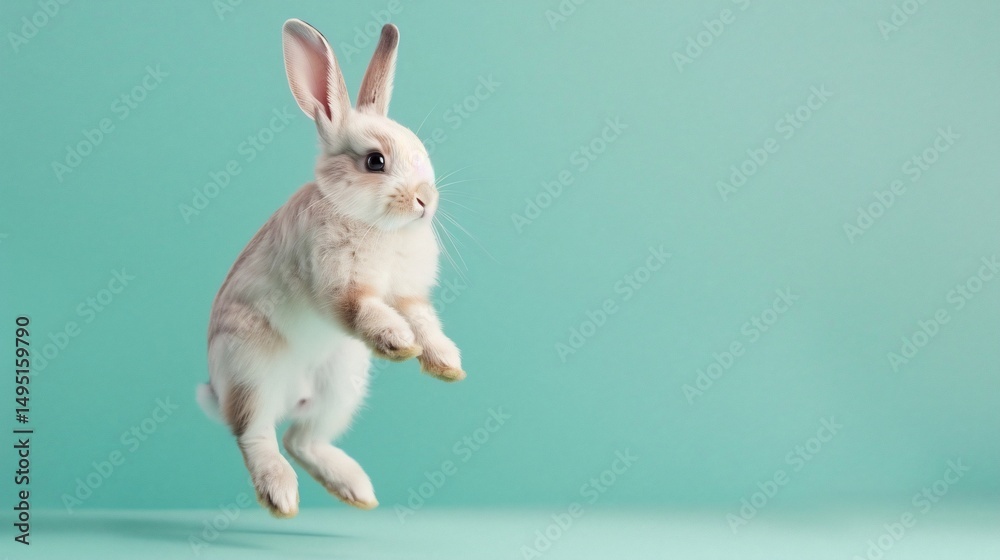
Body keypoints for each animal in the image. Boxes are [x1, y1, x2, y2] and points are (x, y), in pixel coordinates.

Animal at [196, 19, 465, 519]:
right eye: (375, 161)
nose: (425, 200)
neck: (377, 225)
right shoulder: (342, 288)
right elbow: (367, 311)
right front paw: (398, 342)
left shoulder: (408, 295)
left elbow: (423, 321)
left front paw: (445, 363)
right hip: (251, 371)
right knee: (256, 435)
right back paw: (281, 494)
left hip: (341, 386)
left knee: (301, 439)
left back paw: (354, 489)